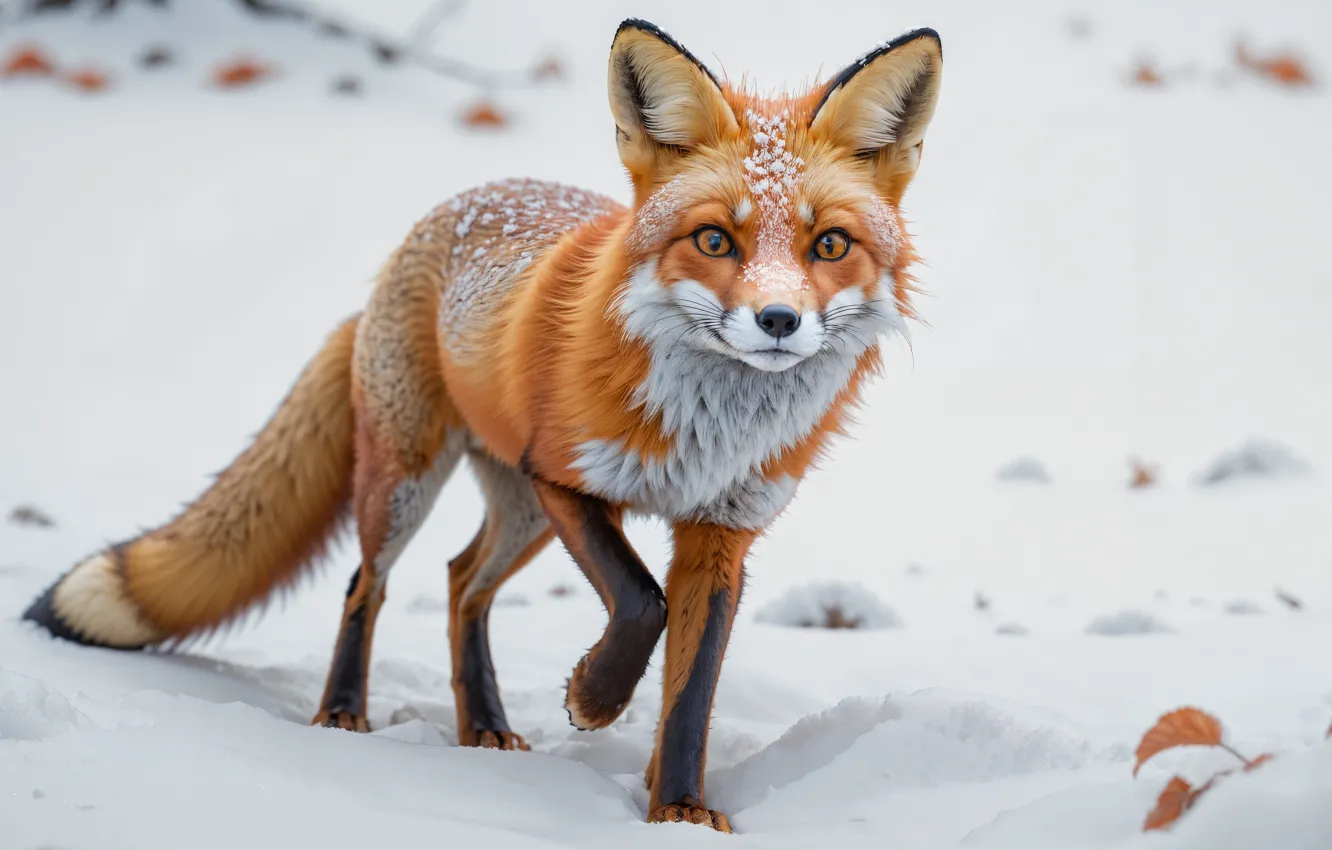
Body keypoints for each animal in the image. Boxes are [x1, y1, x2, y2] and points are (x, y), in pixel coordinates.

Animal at [22, 19, 942, 831]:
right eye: (714, 239)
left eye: (830, 246)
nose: (779, 320)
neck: (707, 429)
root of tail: (435, 222)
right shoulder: (566, 475)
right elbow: (638, 602)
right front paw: (594, 700)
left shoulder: (721, 533)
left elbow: (691, 691)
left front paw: (678, 810)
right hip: (418, 485)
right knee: (367, 585)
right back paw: (342, 718)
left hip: (522, 512)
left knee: (464, 581)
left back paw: (485, 730)